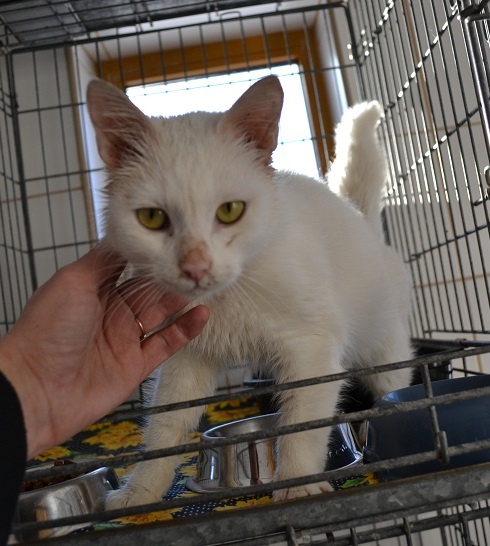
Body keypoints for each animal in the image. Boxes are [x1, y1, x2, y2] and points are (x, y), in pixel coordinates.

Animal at [87, 75, 413, 508]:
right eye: (152, 218)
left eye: (230, 211)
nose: (195, 266)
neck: (227, 298)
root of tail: (358, 216)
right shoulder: (186, 358)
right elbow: (166, 426)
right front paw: (140, 490)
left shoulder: (312, 348)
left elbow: (301, 422)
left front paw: (297, 482)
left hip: (384, 345)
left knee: (392, 384)